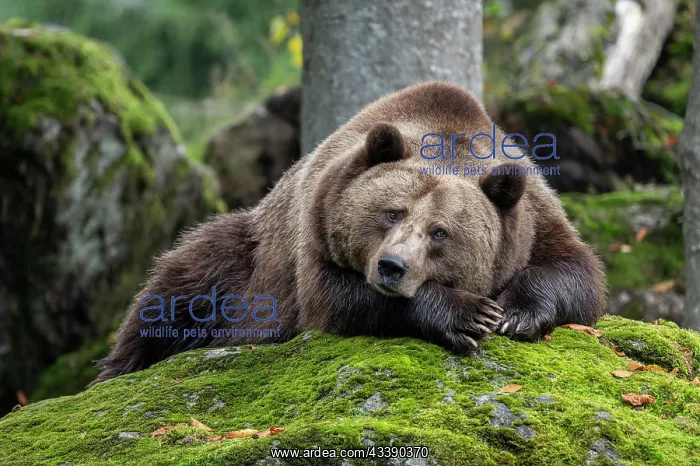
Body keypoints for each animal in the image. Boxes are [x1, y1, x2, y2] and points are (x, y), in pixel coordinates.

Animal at [90, 81, 606, 385]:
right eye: (392, 213)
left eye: (440, 232)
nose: (393, 267)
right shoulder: (314, 232)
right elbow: (336, 298)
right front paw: (465, 314)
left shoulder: (532, 216)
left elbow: (577, 272)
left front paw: (517, 314)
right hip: (248, 254)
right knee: (181, 284)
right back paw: (117, 370)